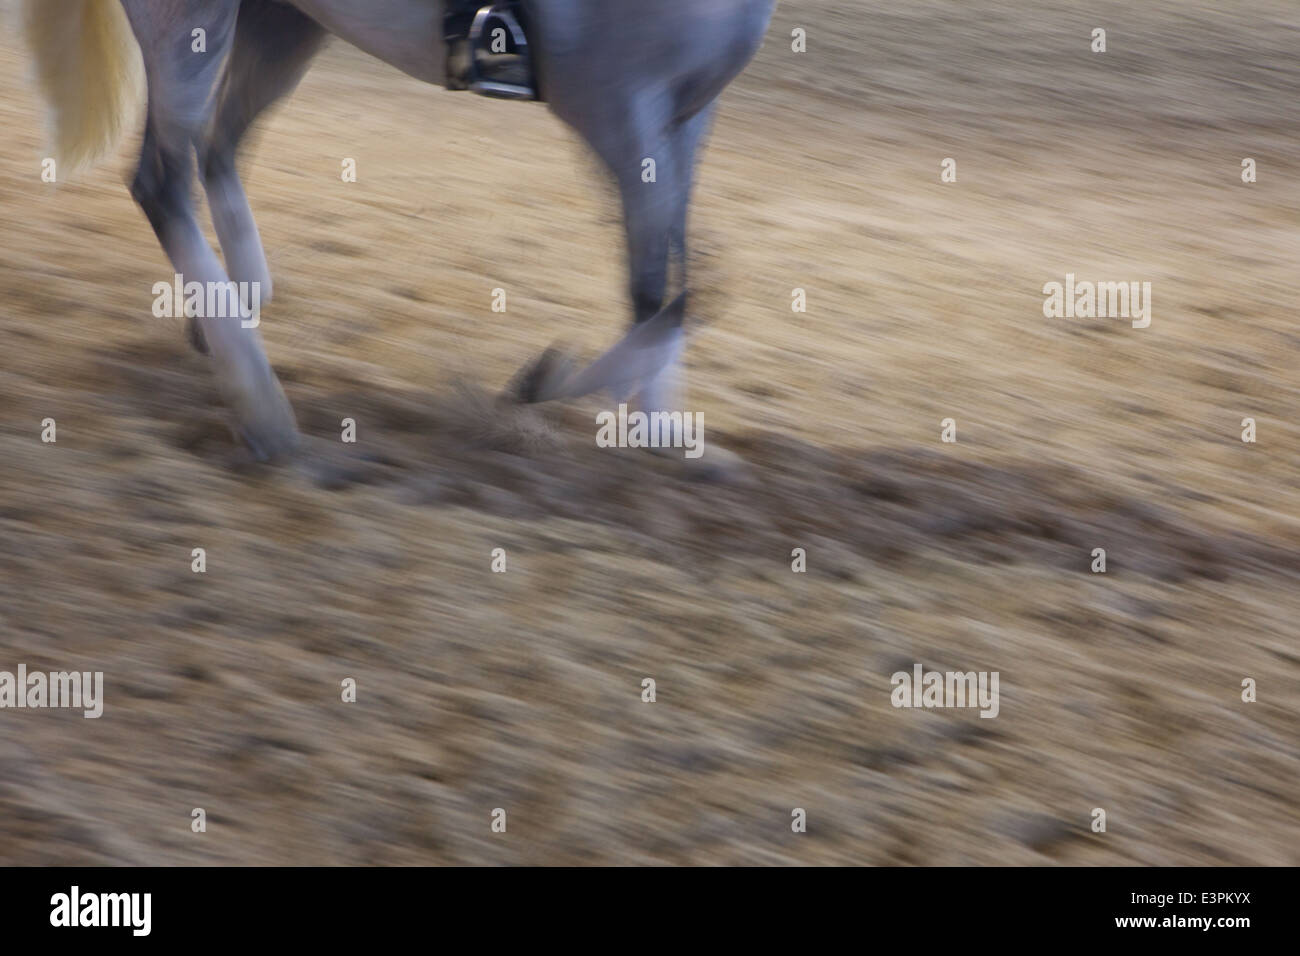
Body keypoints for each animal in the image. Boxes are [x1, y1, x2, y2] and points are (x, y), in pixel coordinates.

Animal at [23, 0, 776, 460]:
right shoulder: (616, 109)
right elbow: (663, 288)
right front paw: (542, 384)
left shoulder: (685, 116)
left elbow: (679, 266)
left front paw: (663, 428)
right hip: (193, 20)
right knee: (164, 178)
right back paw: (265, 412)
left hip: (283, 22)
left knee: (217, 148)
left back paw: (228, 315)